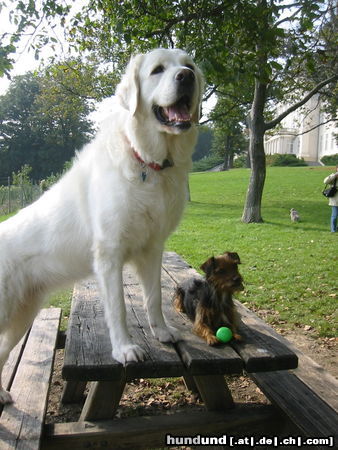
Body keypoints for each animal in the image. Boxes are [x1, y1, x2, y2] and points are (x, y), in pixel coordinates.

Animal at [0, 49, 203, 404]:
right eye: (157, 70)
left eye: (188, 66)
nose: (186, 77)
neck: (147, 163)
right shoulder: (109, 255)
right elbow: (119, 307)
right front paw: (125, 350)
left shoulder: (152, 250)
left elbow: (153, 298)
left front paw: (162, 333)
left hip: (23, 317)